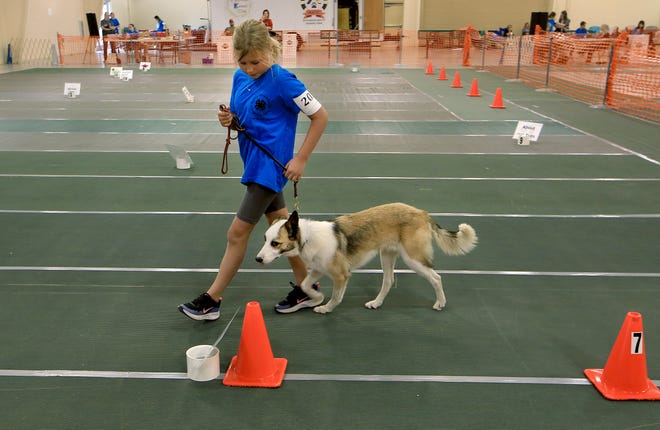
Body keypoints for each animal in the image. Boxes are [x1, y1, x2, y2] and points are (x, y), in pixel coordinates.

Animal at [255, 203, 476, 314]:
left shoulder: (341, 275)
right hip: (386, 255)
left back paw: (440, 303)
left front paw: (325, 307)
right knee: (389, 281)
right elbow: (305, 285)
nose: (258, 259)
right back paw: (376, 303)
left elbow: (336, 296)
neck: (308, 238)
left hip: (413, 259)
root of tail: (422, 213)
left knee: (436, 278)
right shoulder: (318, 269)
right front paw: (315, 298)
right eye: (264, 239)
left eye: (275, 243)